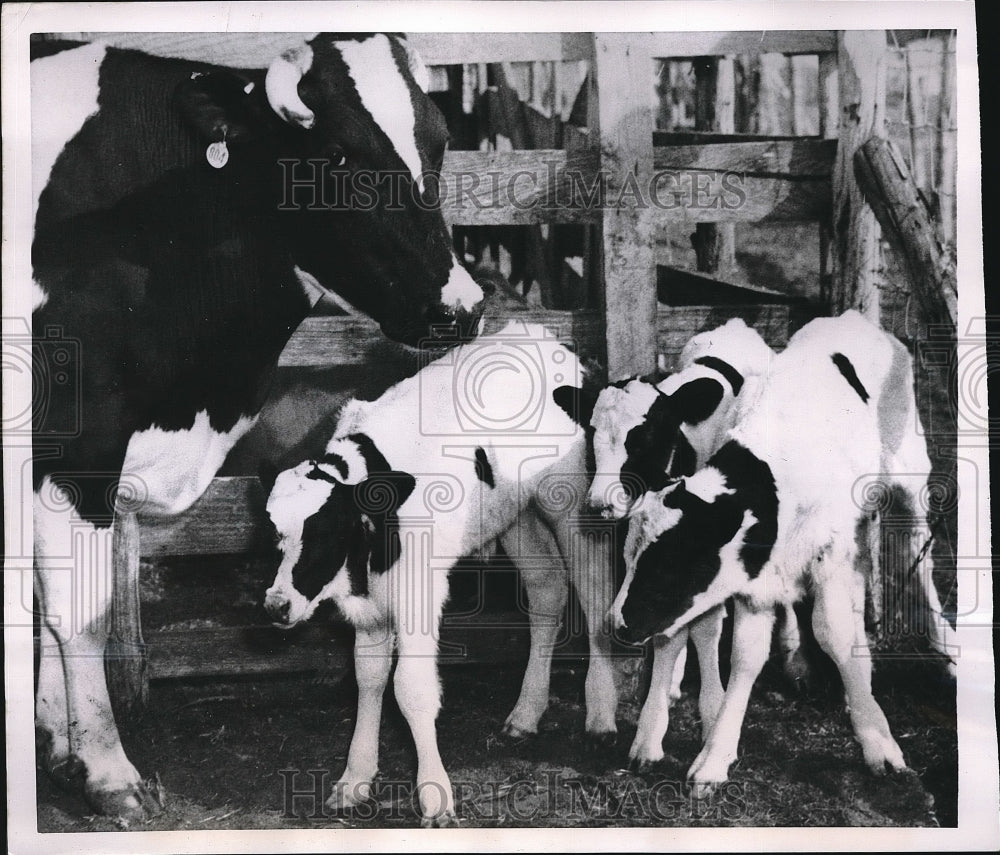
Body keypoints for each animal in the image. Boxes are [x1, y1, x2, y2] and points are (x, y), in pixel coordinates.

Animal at [35, 33, 492, 824]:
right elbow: (77, 610)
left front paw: (58, 747)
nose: (460, 308)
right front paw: (107, 771)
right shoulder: (75, 443)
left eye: (437, 142)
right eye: (336, 153)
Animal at [258, 320, 616, 824]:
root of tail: (544, 336)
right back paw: (526, 712)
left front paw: (434, 794)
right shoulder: (374, 606)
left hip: (569, 502)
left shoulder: (418, 593)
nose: (277, 606)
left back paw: (601, 714)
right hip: (513, 514)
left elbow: (410, 690)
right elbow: (368, 678)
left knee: (595, 588)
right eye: (274, 532)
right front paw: (355, 778)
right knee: (548, 589)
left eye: (325, 533)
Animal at [612, 310, 956, 796]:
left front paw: (878, 744)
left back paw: (942, 645)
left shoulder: (827, 550)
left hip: (907, 467)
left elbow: (832, 633)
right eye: (629, 560)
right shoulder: (760, 575)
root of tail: (854, 318)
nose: (616, 625)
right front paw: (715, 757)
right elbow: (745, 657)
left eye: (669, 566)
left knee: (917, 549)